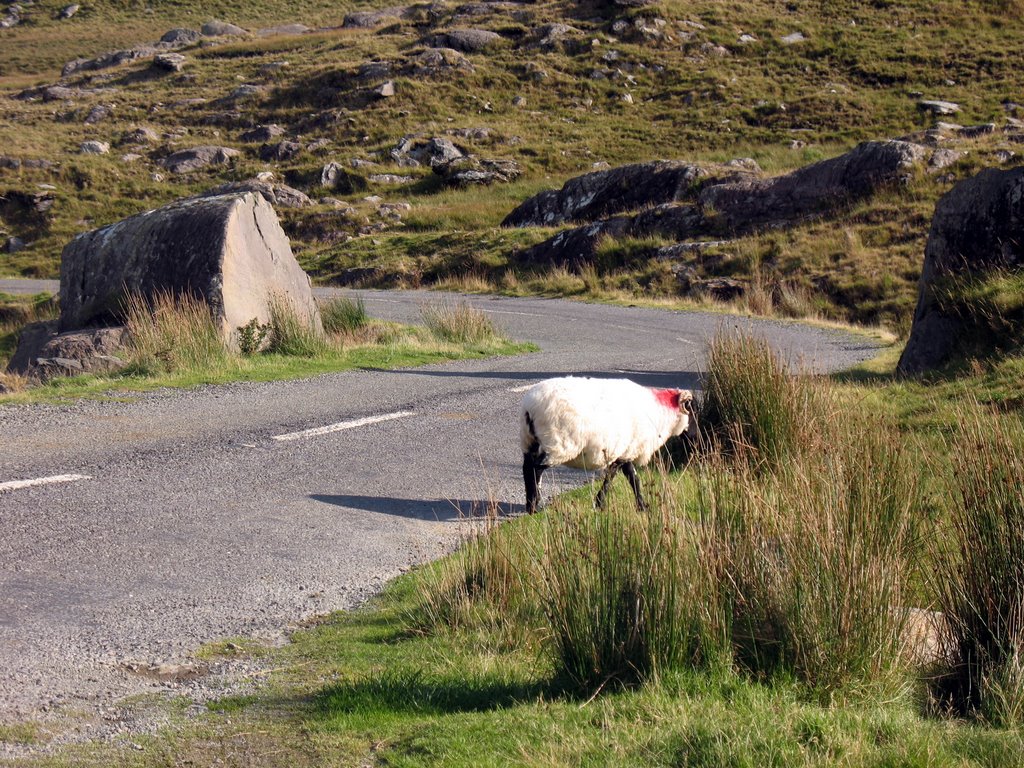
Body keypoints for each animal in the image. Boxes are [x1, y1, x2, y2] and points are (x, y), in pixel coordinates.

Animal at [520, 376, 696, 514]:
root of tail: (530, 407)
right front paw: (602, 503)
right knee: (536, 469)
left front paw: (640, 506)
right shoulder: (624, 451)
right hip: (558, 444)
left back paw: (530, 505)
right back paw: (535, 506)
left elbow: (629, 477)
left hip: (530, 440)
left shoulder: (625, 450)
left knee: (527, 467)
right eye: (691, 410)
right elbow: (618, 477)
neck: (660, 413)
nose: (696, 440)